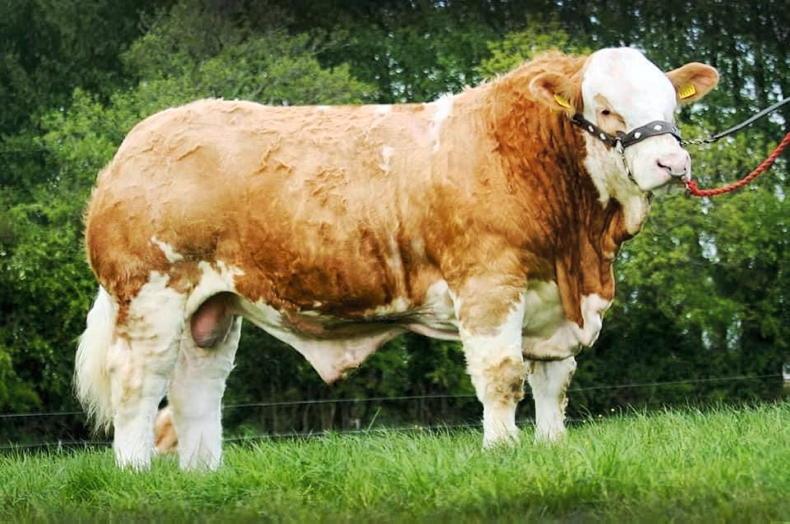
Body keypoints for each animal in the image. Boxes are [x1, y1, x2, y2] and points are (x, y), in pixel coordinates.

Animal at [75, 47, 718, 470]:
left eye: (673, 105)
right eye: (606, 108)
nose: (671, 164)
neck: (579, 250)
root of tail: (140, 140)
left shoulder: (553, 305)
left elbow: (553, 383)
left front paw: (551, 448)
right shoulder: (488, 284)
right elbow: (501, 376)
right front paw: (502, 451)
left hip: (214, 307)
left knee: (196, 388)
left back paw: (203, 475)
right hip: (152, 293)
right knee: (137, 382)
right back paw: (136, 473)